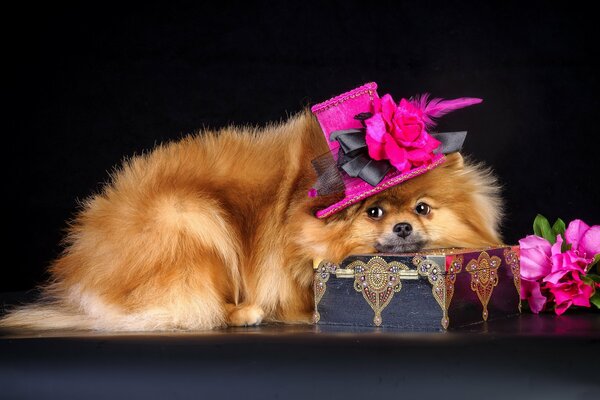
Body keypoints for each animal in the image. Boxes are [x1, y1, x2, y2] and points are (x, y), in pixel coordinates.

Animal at [0, 105, 504, 328]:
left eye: (422, 209)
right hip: (193, 221)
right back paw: (245, 312)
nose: (402, 227)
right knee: (191, 306)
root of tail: (86, 276)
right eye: (374, 211)